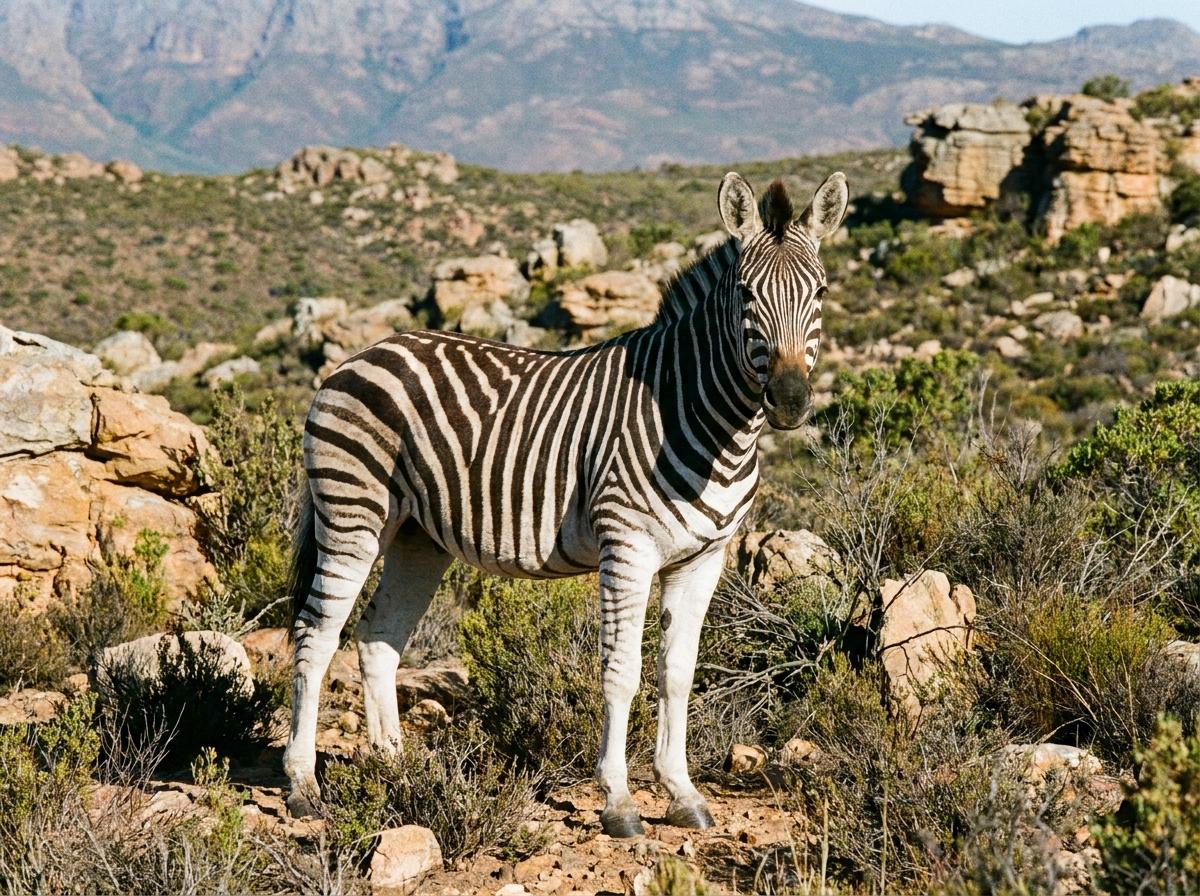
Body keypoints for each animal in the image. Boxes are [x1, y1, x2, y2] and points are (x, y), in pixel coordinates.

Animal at [284, 170, 848, 837]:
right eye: (745, 295)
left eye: (820, 291)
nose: (789, 401)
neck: (708, 421)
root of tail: (362, 354)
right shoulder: (627, 546)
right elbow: (622, 671)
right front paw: (619, 802)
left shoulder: (703, 557)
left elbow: (678, 673)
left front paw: (682, 793)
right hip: (352, 513)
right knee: (315, 636)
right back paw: (302, 787)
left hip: (418, 537)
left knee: (376, 639)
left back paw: (397, 772)